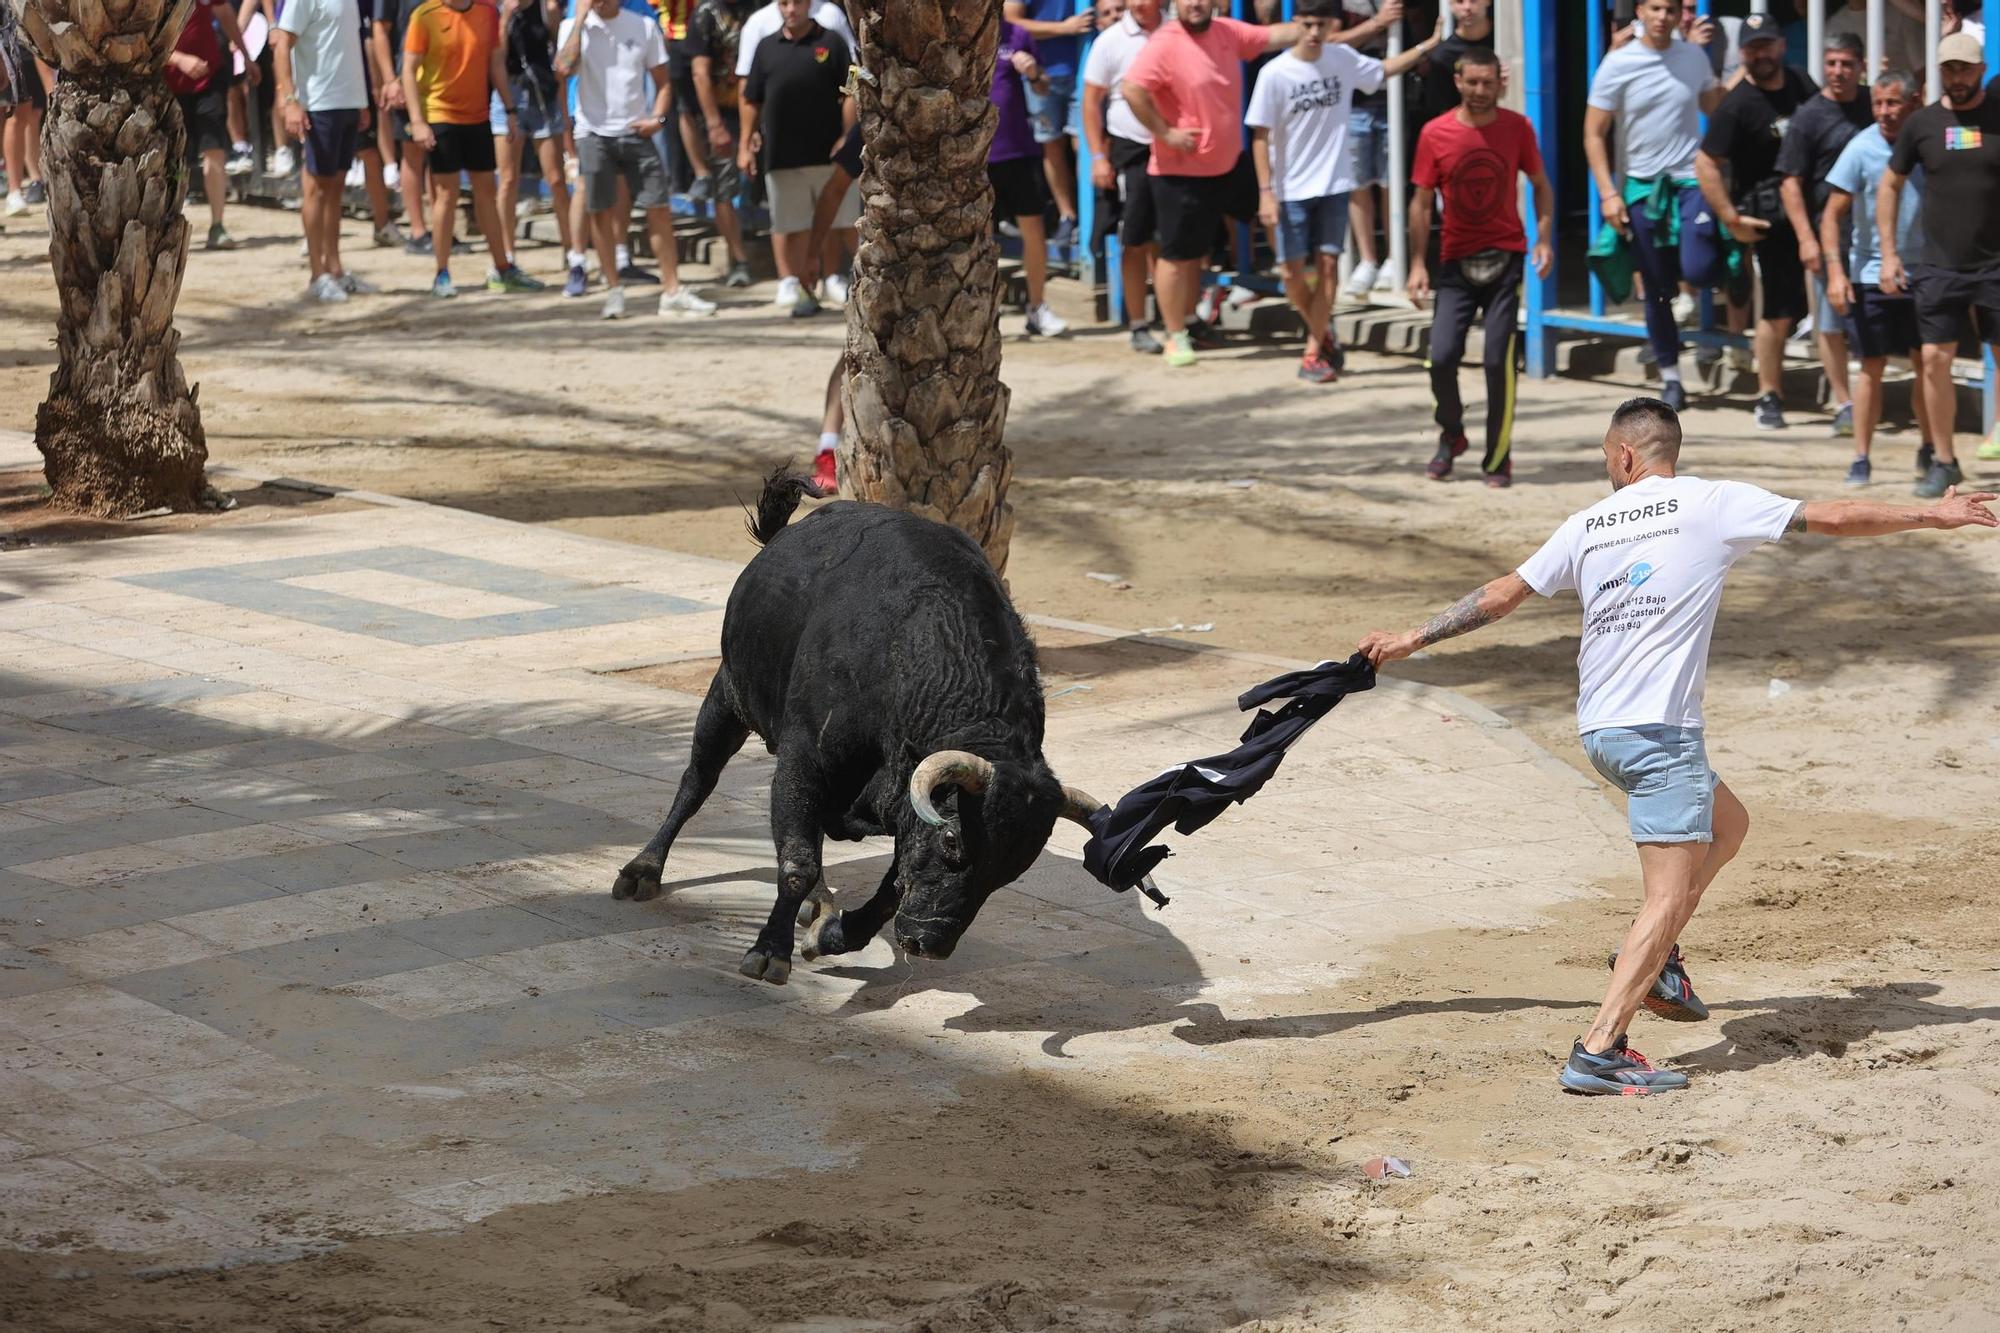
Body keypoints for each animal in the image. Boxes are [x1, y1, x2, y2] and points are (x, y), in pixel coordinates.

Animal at [608, 472, 1112, 980]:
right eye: (952, 838)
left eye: (1012, 870)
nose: (929, 944)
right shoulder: (803, 761)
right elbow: (797, 862)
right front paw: (770, 950)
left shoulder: (903, 813)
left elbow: (887, 891)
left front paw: (829, 935)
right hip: (726, 698)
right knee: (697, 782)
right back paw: (643, 869)